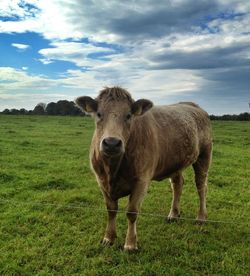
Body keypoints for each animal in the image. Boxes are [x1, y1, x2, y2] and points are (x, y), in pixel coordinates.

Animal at [75, 86, 211, 250]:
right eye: (99, 114)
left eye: (128, 115)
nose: (112, 143)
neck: (112, 170)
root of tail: (194, 106)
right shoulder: (101, 181)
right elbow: (111, 209)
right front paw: (108, 238)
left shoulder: (142, 181)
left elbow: (132, 212)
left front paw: (130, 244)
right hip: (175, 162)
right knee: (178, 185)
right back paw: (173, 215)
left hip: (204, 155)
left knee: (201, 186)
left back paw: (201, 217)